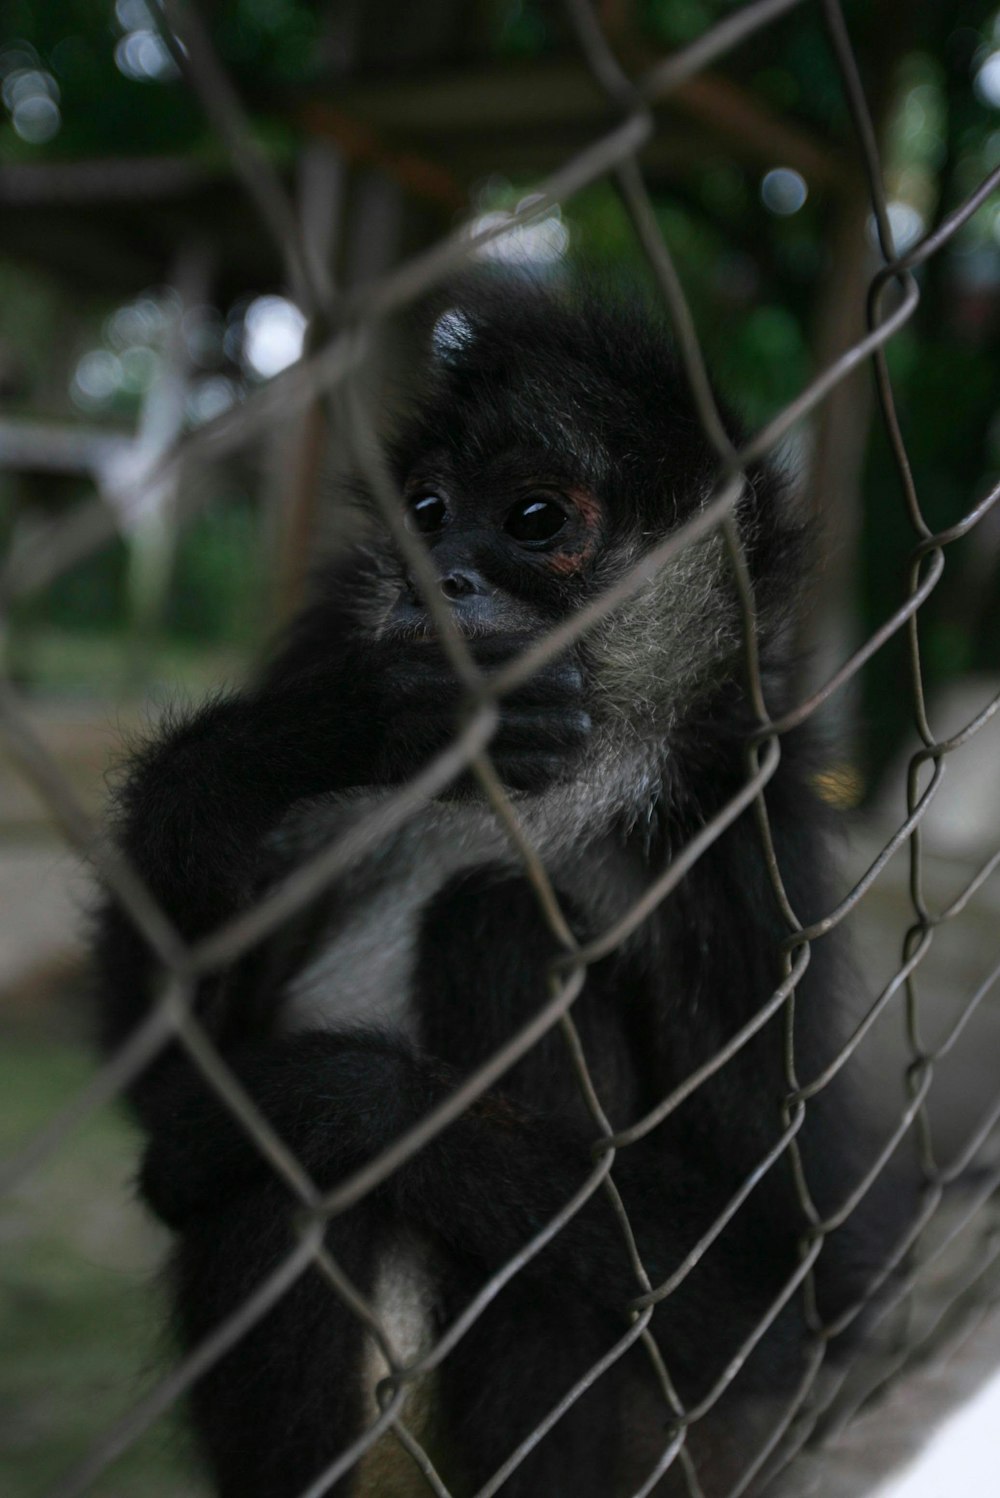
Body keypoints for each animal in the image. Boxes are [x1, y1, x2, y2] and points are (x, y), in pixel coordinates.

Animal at [95, 281, 904, 1498]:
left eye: (534, 520)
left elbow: (793, 1296)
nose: (442, 578)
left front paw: (325, 1100)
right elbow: (159, 1075)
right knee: (277, 1208)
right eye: (427, 510)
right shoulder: (332, 624)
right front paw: (347, 722)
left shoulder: (737, 836)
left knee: (498, 923)